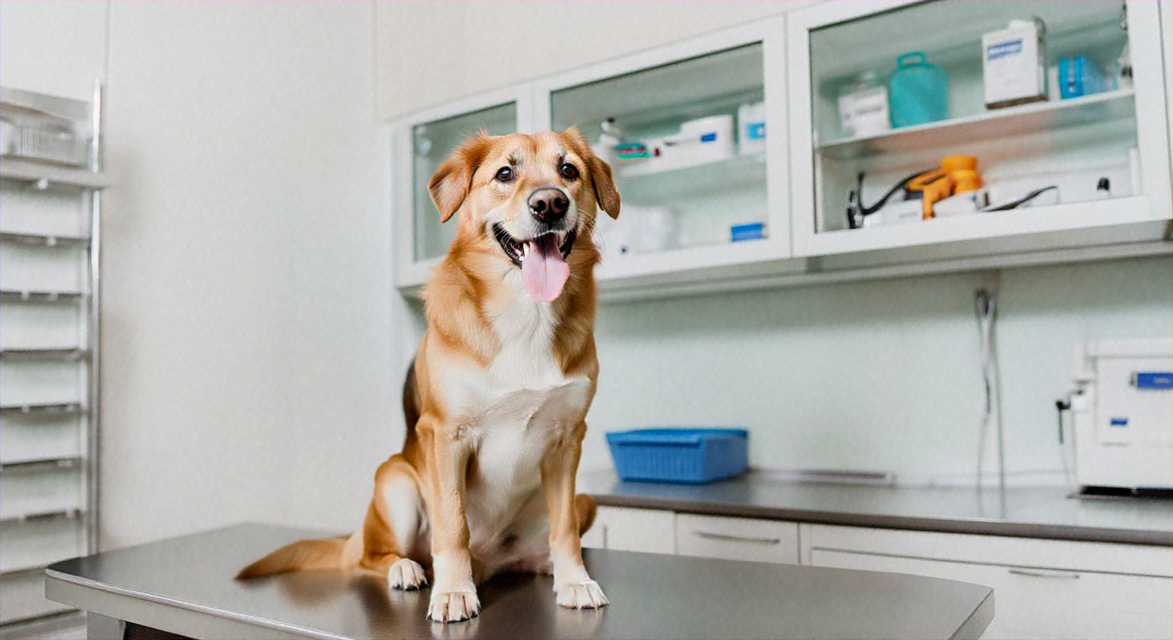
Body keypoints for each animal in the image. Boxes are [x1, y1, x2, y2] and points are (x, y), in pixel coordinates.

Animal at [237, 128, 621, 623]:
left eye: (569, 170)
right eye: (505, 173)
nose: (550, 204)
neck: (526, 314)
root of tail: (491, 560)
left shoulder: (567, 438)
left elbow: (565, 529)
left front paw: (574, 579)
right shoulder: (445, 434)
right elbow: (452, 525)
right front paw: (454, 590)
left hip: (583, 499)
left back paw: (543, 565)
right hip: (394, 480)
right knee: (370, 558)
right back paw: (407, 569)